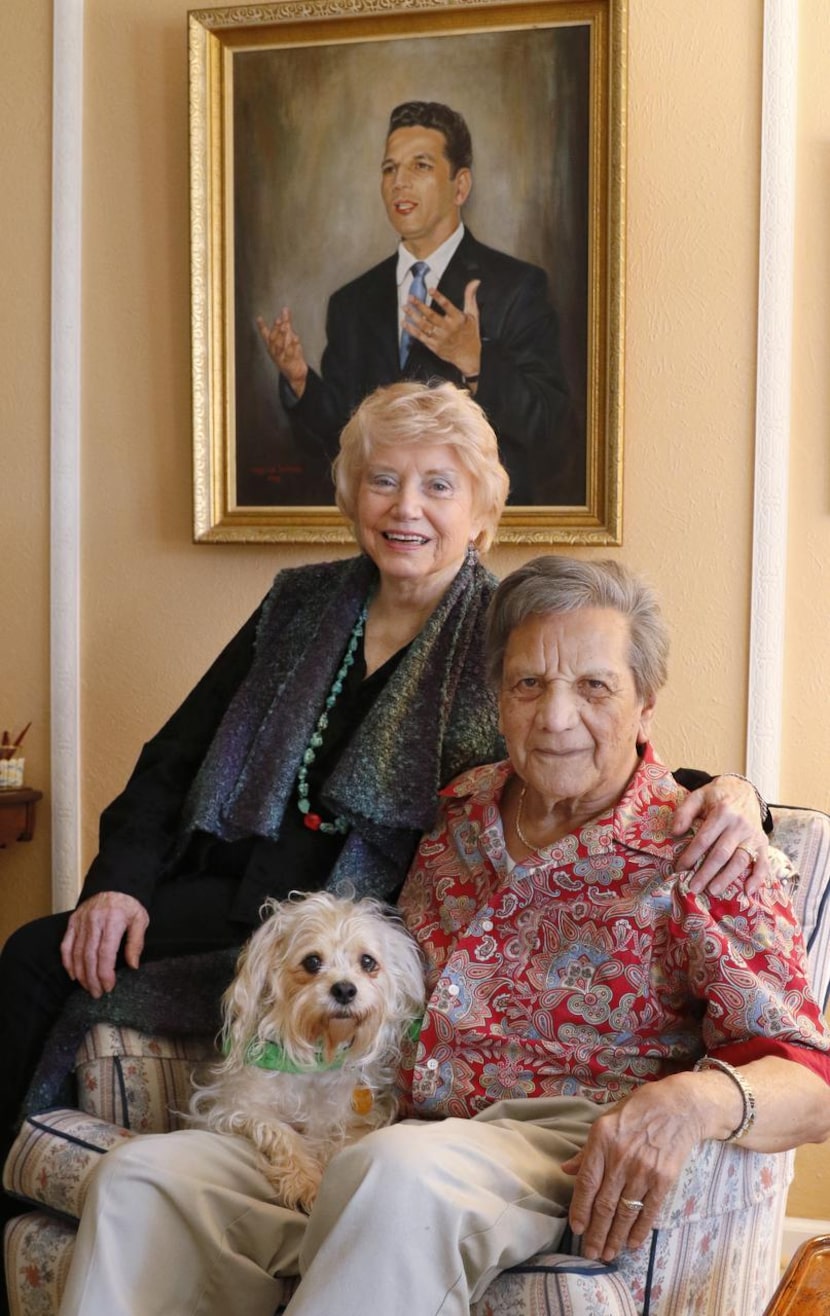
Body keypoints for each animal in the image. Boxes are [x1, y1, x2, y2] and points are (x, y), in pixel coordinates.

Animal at [188, 889, 420, 1205]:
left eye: (368, 962)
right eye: (312, 961)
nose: (345, 989)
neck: (319, 1054)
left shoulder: (353, 1119)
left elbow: (337, 1141)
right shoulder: (239, 1107)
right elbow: (280, 1130)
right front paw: (305, 1180)